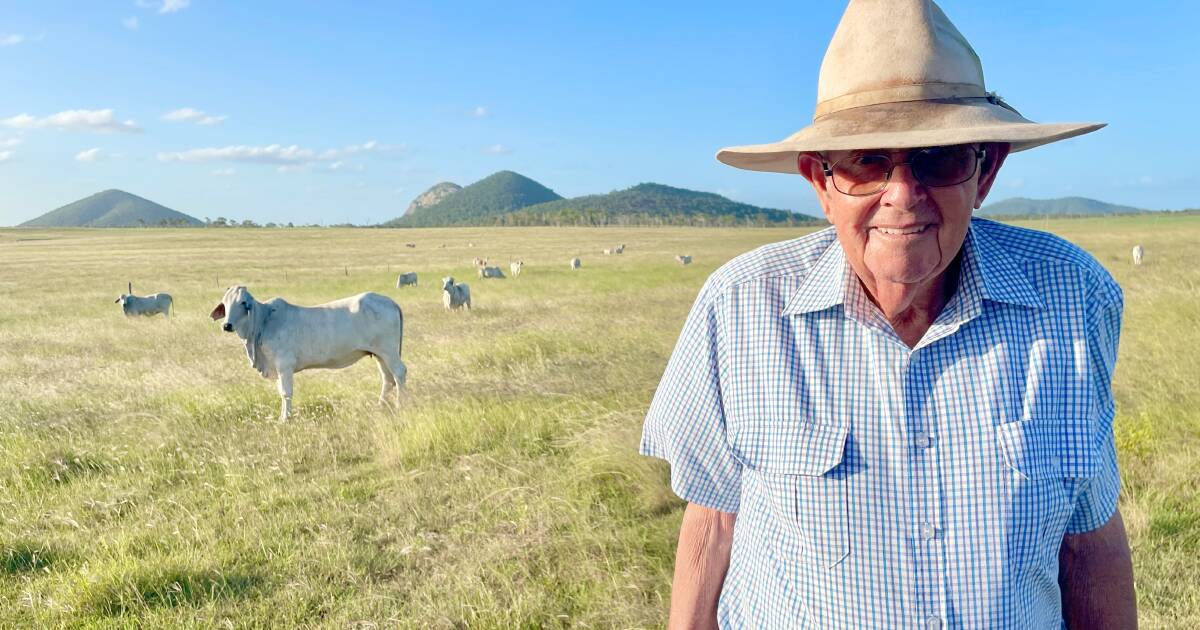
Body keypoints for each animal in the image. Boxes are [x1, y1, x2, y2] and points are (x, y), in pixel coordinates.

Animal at [208, 286, 405, 420]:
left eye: (242, 303)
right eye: (225, 303)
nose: (227, 325)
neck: (264, 321)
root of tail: (391, 302)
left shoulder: (284, 366)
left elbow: (286, 392)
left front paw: (285, 419)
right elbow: (281, 392)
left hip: (389, 351)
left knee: (399, 373)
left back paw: (401, 405)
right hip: (380, 354)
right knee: (387, 379)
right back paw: (380, 406)